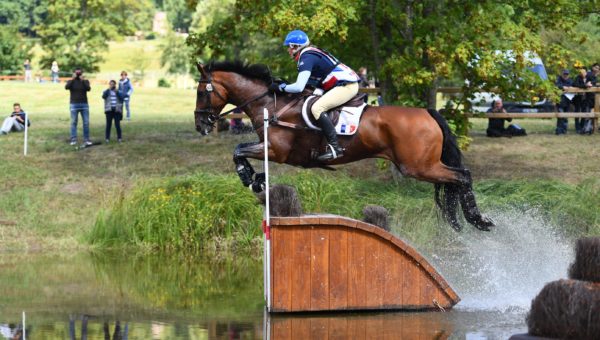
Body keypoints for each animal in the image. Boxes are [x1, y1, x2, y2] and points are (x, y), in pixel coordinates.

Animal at [195, 61, 494, 231]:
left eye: (201, 92)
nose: (200, 125)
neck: (271, 104)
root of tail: (428, 113)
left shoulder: (276, 151)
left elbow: (238, 150)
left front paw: (250, 177)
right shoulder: (268, 147)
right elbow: (240, 150)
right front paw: (256, 178)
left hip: (418, 166)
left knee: (462, 176)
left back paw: (478, 219)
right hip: (423, 165)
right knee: (455, 180)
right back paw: (467, 219)